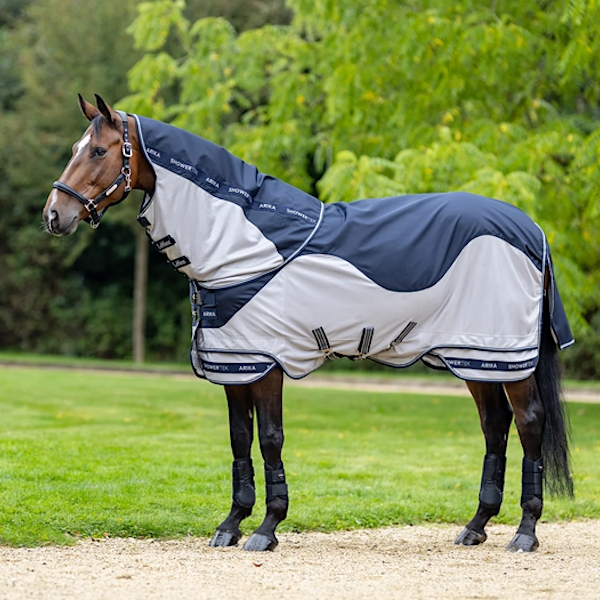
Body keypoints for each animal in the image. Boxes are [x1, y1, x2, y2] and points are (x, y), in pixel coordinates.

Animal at [39, 95, 576, 552]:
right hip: (476, 360)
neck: (247, 245)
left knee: (528, 424)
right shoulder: (236, 365)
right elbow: (240, 440)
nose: (54, 215)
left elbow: (270, 440)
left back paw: (525, 532)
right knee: (495, 427)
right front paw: (231, 525)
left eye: (100, 150)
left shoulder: (266, 363)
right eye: (76, 149)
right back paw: (476, 526)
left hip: (505, 357)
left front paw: (267, 528)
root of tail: (532, 229)